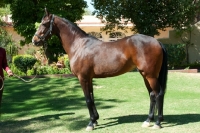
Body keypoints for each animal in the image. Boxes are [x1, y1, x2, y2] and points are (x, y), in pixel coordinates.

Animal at [32, 8, 168, 131]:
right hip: (146, 75)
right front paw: (95, 119)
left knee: (159, 94)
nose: (35, 40)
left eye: (44, 24)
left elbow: (87, 99)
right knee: (152, 95)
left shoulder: (83, 78)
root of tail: (157, 42)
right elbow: (92, 98)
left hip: (150, 76)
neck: (79, 46)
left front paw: (90, 123)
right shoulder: (89, 78)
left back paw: (157, 122)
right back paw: (148, 120)